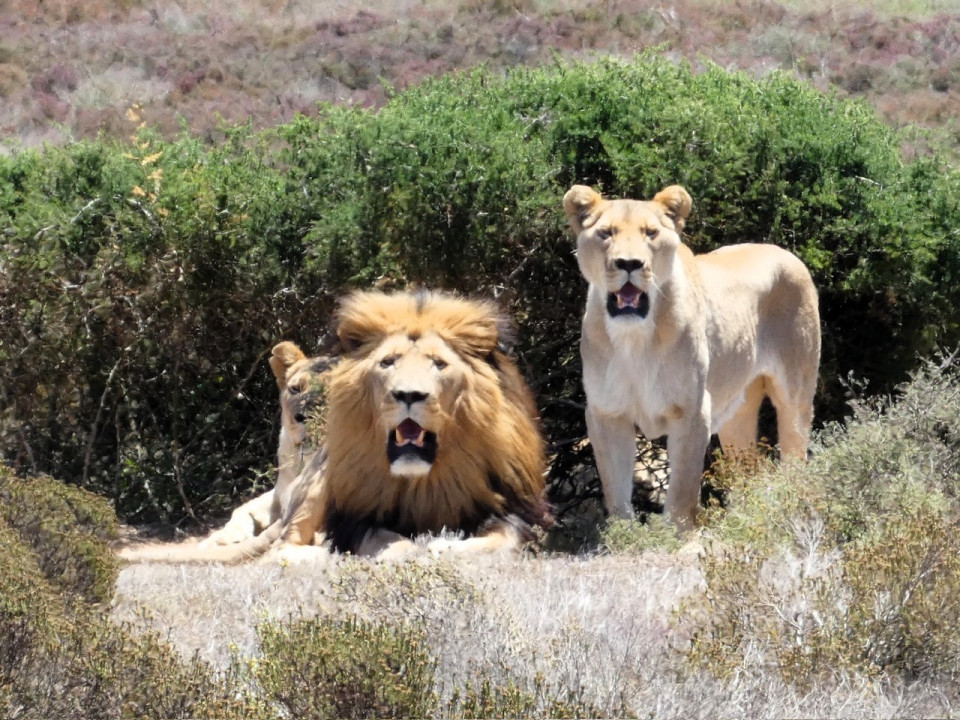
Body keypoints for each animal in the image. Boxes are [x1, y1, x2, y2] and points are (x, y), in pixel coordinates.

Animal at [120, 289, 551, 563]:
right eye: (387, 362)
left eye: (439, 364)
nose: (408, 394)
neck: (425, 479)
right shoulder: (353, 517)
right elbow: (388, 540)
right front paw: (405, 551)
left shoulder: (510, 511)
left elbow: (505, 540)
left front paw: (446, 547)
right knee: (284, 549)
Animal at [563, 184, 820, 530]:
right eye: (606, 233)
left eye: (651, 233)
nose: (629, 263)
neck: (633, 338)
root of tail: (786, 253)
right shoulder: (607, 414)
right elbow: (616, 491)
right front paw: (625, 535)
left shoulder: (692, 411)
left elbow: (682, 491)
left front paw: (675, 534)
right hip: (736, 414)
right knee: (749, 472)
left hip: (795, 394)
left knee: (795, 452)